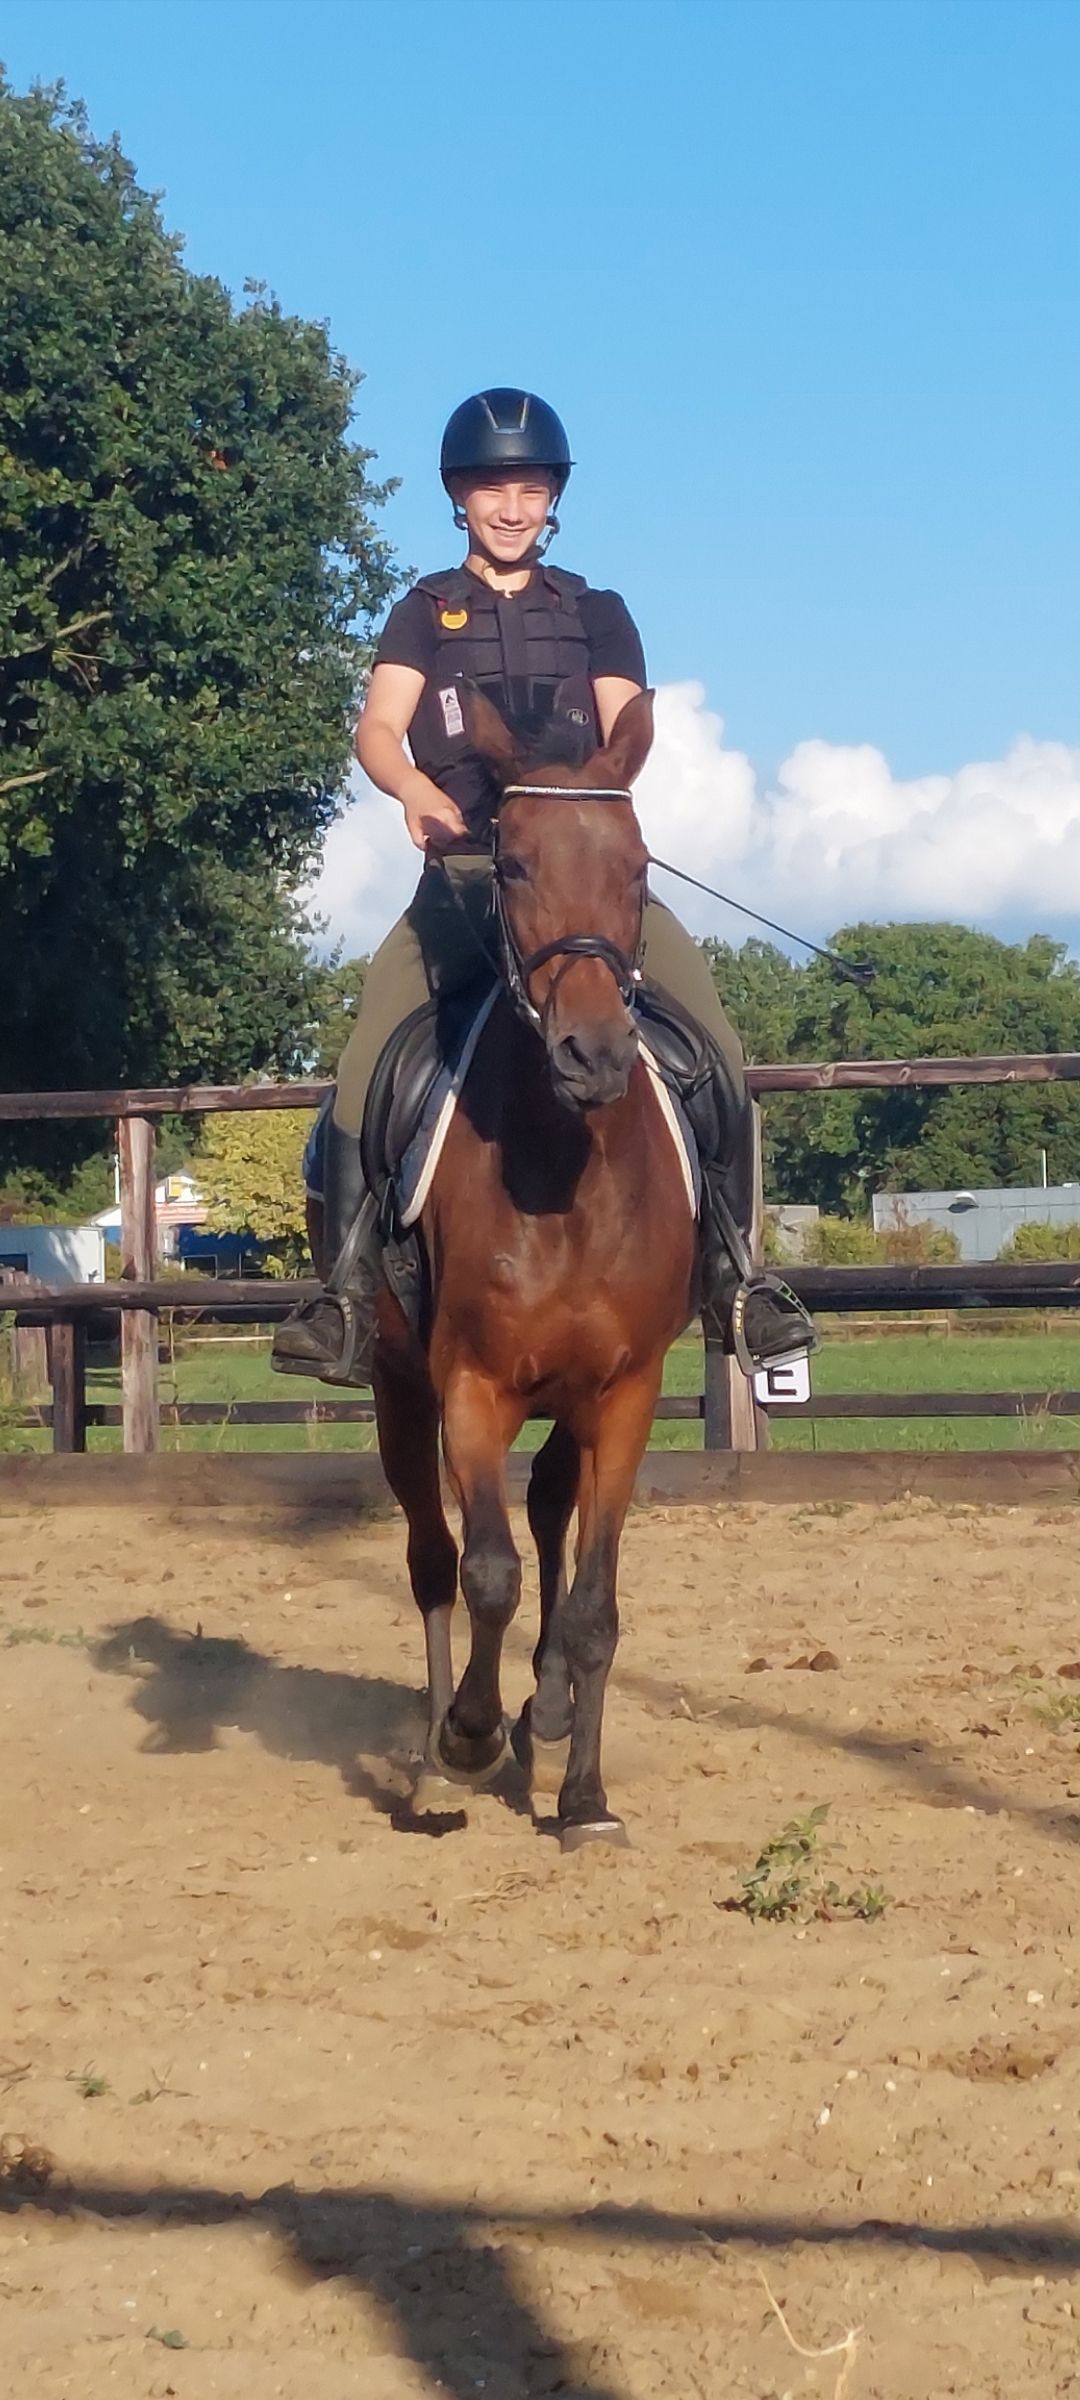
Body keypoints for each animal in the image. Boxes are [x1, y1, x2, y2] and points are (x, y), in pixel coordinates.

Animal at [371, 687, 697, 1849]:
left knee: (549, 1513)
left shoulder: (627, 1394)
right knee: (435, 1558)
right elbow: (490, 1572)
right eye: (509, 862)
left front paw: (585, 1797)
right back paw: (435, 1762)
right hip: (397, 1386)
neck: (563, 1175)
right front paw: (469, 1733)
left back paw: (544, 1716)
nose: (592, 1055)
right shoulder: (469, 1385)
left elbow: (593, 1602)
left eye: (639, 865)